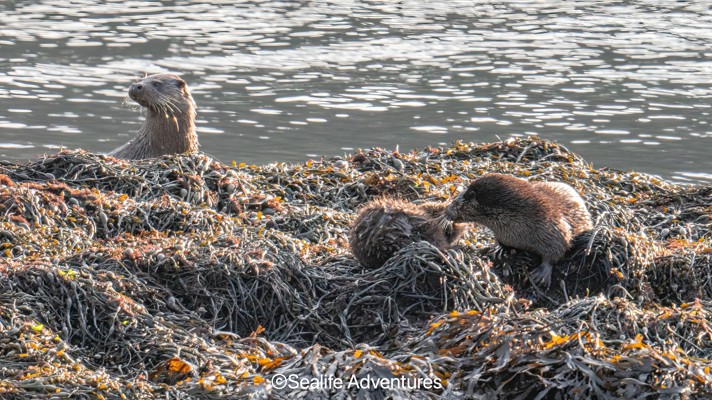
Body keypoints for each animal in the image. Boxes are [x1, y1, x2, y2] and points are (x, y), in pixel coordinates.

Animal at [445, 173, 592, 288]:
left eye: (455, 203)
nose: (446, 211)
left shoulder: (556, 228)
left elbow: (557, 252)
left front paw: (542, 273)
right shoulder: (504, 235)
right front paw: (499, 250)